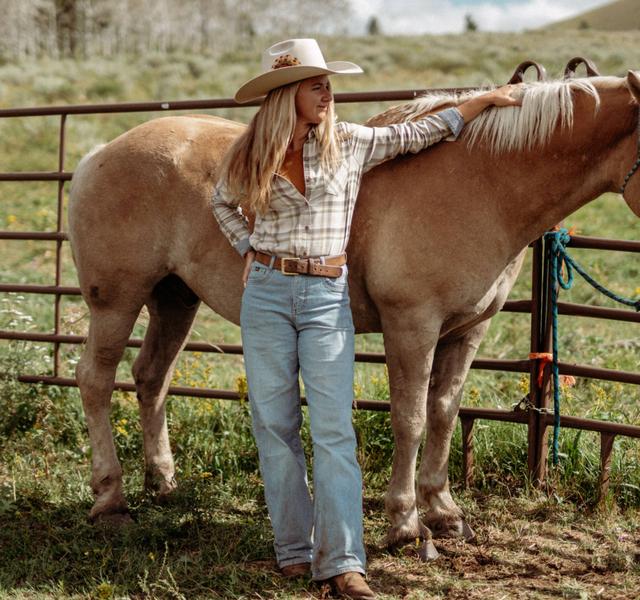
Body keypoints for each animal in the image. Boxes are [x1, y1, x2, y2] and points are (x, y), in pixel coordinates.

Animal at [67, 71, 640, 552]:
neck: (482, 182)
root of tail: (98, 154)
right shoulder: (412, 326)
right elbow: (410, 418)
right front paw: (405, 523)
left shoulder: (468, 331)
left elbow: (444, 413)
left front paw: (444, 512)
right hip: (117, 301)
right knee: (95, 380)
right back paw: (110, 499)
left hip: (174, 300)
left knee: (151, 378)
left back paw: (162, 481)